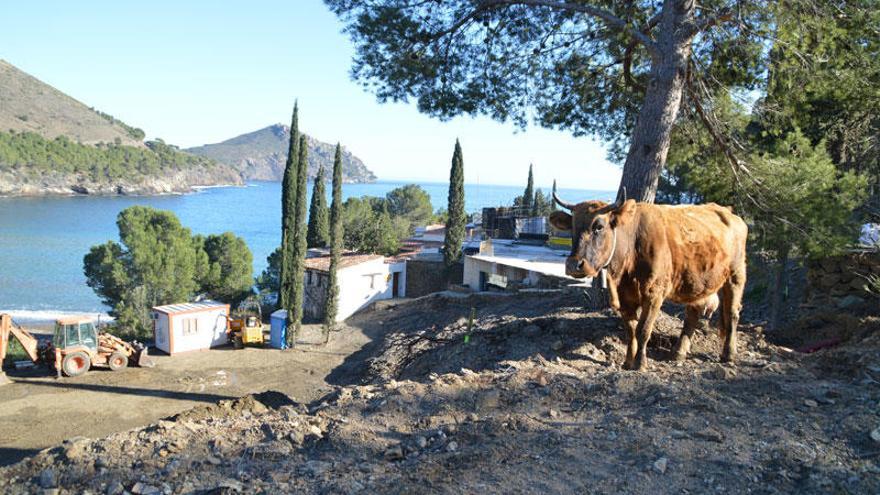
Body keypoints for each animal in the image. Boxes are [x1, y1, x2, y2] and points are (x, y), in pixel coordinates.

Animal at [552, 191, 748, 372]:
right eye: (572, 227)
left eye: (598, 226)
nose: (573, 264)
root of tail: (729, 213)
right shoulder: (625, 297)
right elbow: (630, 330)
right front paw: (627, 362)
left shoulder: (654, 293)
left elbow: (643, 329)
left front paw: (640, 363)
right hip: (699, 281)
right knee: (693, 313)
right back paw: (678, 353)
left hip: (736, 275)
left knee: (732, 313)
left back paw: (728, 354)